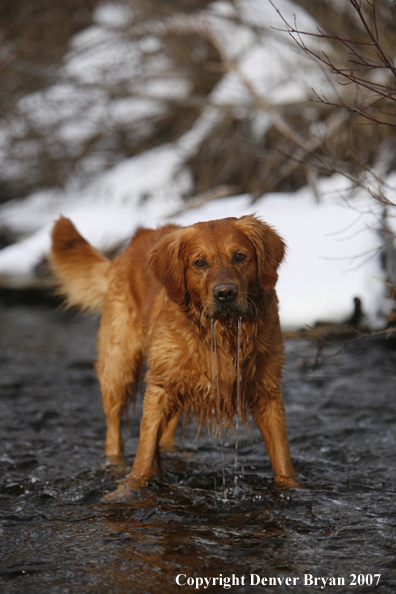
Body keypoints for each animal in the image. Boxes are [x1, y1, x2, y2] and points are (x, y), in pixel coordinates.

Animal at [51, 214, 300, 500]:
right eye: (199, 263)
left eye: (240, 256)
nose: (225, 293)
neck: (220, 331)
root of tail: (132, 243)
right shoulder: (158, 387)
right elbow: (144, 449)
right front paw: (130, 487)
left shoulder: (267, 389)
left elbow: (281, 454)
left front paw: (291, 487)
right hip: (118, 366)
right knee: (113, 431)